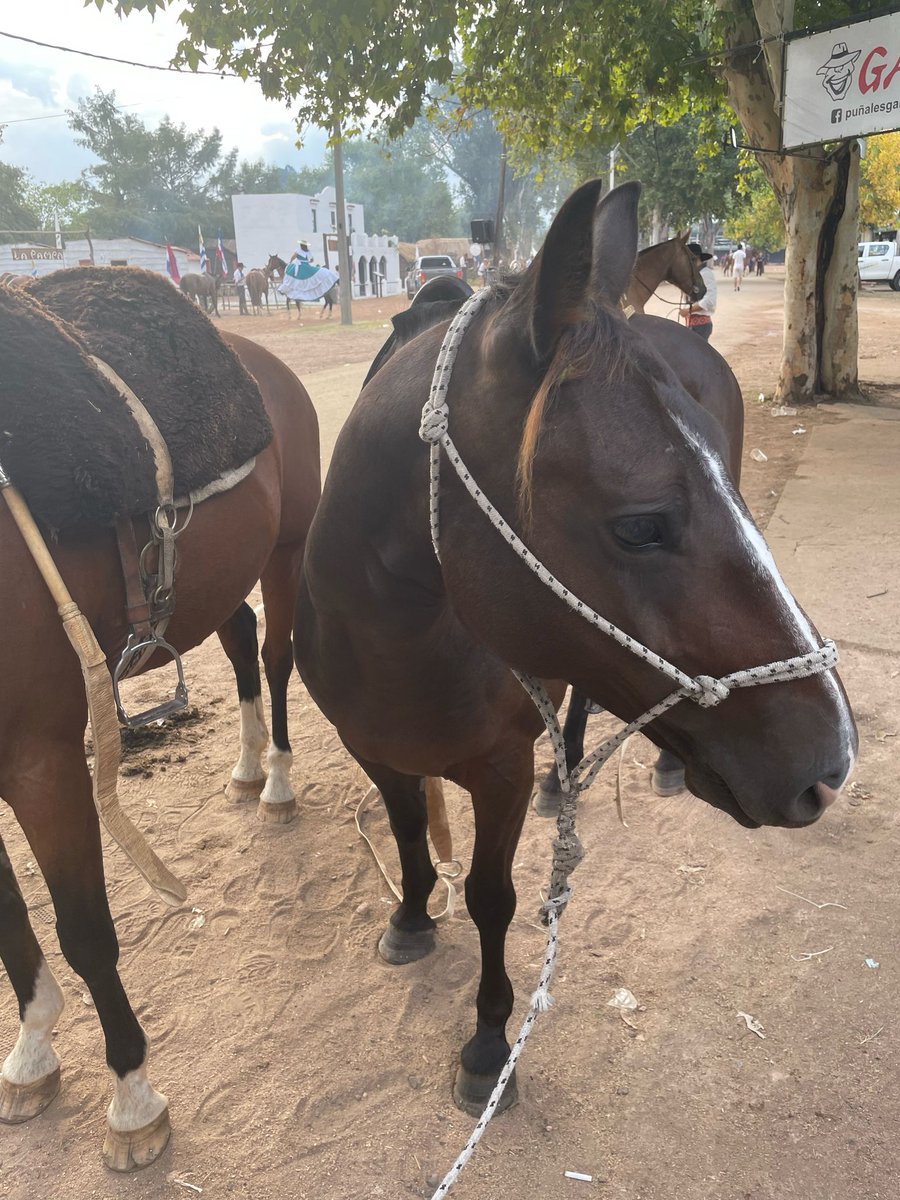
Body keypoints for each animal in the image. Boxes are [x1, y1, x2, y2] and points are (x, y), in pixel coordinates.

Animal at [0, 279, 320, 1168]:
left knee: (274, 656)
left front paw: (132, 1097)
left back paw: (276, 779)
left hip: (286, 550)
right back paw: (247, 767)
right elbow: (7, 918)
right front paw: (31, 1047)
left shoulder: (40, 761)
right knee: (240, 637)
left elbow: (84, 932)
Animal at [294, 179, 856, 1120]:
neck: (396, 641)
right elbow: (409, 835)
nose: (833, 759)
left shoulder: (501, 771)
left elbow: (491, 897)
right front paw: (410, 919)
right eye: (640, 525)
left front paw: (489, 1045)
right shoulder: (370, 747)